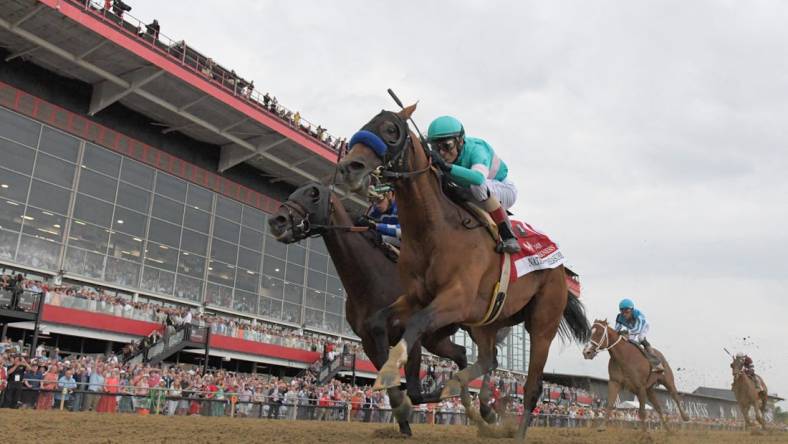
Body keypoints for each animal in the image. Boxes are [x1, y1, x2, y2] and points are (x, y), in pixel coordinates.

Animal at [268, 182, 468, 436]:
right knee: (461, 352)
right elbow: (394, 387)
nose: (278, 220)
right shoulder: (369, 342)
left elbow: (413, 390)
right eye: (293, 193)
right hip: (436, 339)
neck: (372, 279)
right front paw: (404, 425)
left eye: (313, 195)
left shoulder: (410, 336)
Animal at [338, 106, 592, 442]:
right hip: (487, 320)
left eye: (391, 130)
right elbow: (379, 321)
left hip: (542, 323)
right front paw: (402, 391)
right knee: (488, 358)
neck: (434, 229)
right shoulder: (416, 296)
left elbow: (417, 324)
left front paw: (392, 372)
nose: (348, 167)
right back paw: (470, 397)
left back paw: (513, 427)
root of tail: (561, 265)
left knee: (532, 385)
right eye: (366, 123)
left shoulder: (455, 298)